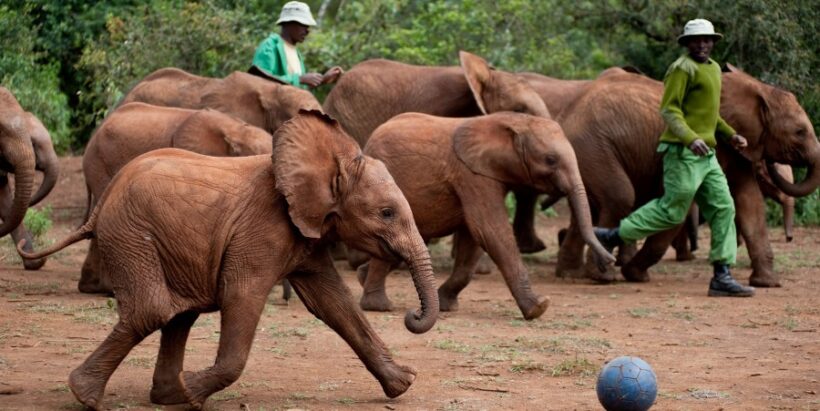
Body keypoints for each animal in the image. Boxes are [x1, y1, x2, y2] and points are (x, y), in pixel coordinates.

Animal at [357, 112, 615, 320]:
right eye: (550, 160)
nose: (609, 261)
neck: (514, 121)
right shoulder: (472, 175)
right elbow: (489, 230)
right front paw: (538, 308)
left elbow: (473, 239)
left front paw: (446, 305)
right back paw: (378, 306)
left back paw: (362, 277)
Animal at [519, 65, 818, 287]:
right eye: (800, 132)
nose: (770, 163)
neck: (758, 88)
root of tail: (564, 116)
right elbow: (681, 207)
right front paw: (635, 275)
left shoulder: (736, 149)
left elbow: (749, 202)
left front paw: (767, 284)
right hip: (592, 148)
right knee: (619, 198)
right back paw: (604, 276)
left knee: (593, 206)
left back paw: (571, 274)